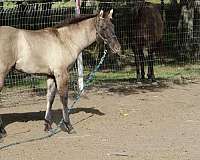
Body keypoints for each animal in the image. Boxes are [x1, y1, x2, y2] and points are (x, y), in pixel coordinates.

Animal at [0, 9, 120, 139]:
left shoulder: (51, 76)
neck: (65, 40)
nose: (117, 48)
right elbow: (64, 98)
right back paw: (3, 131)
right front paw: (69, 126)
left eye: (113, 26)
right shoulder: (62, 73)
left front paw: (48, 126)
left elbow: (50, 97)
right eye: (103, 27)